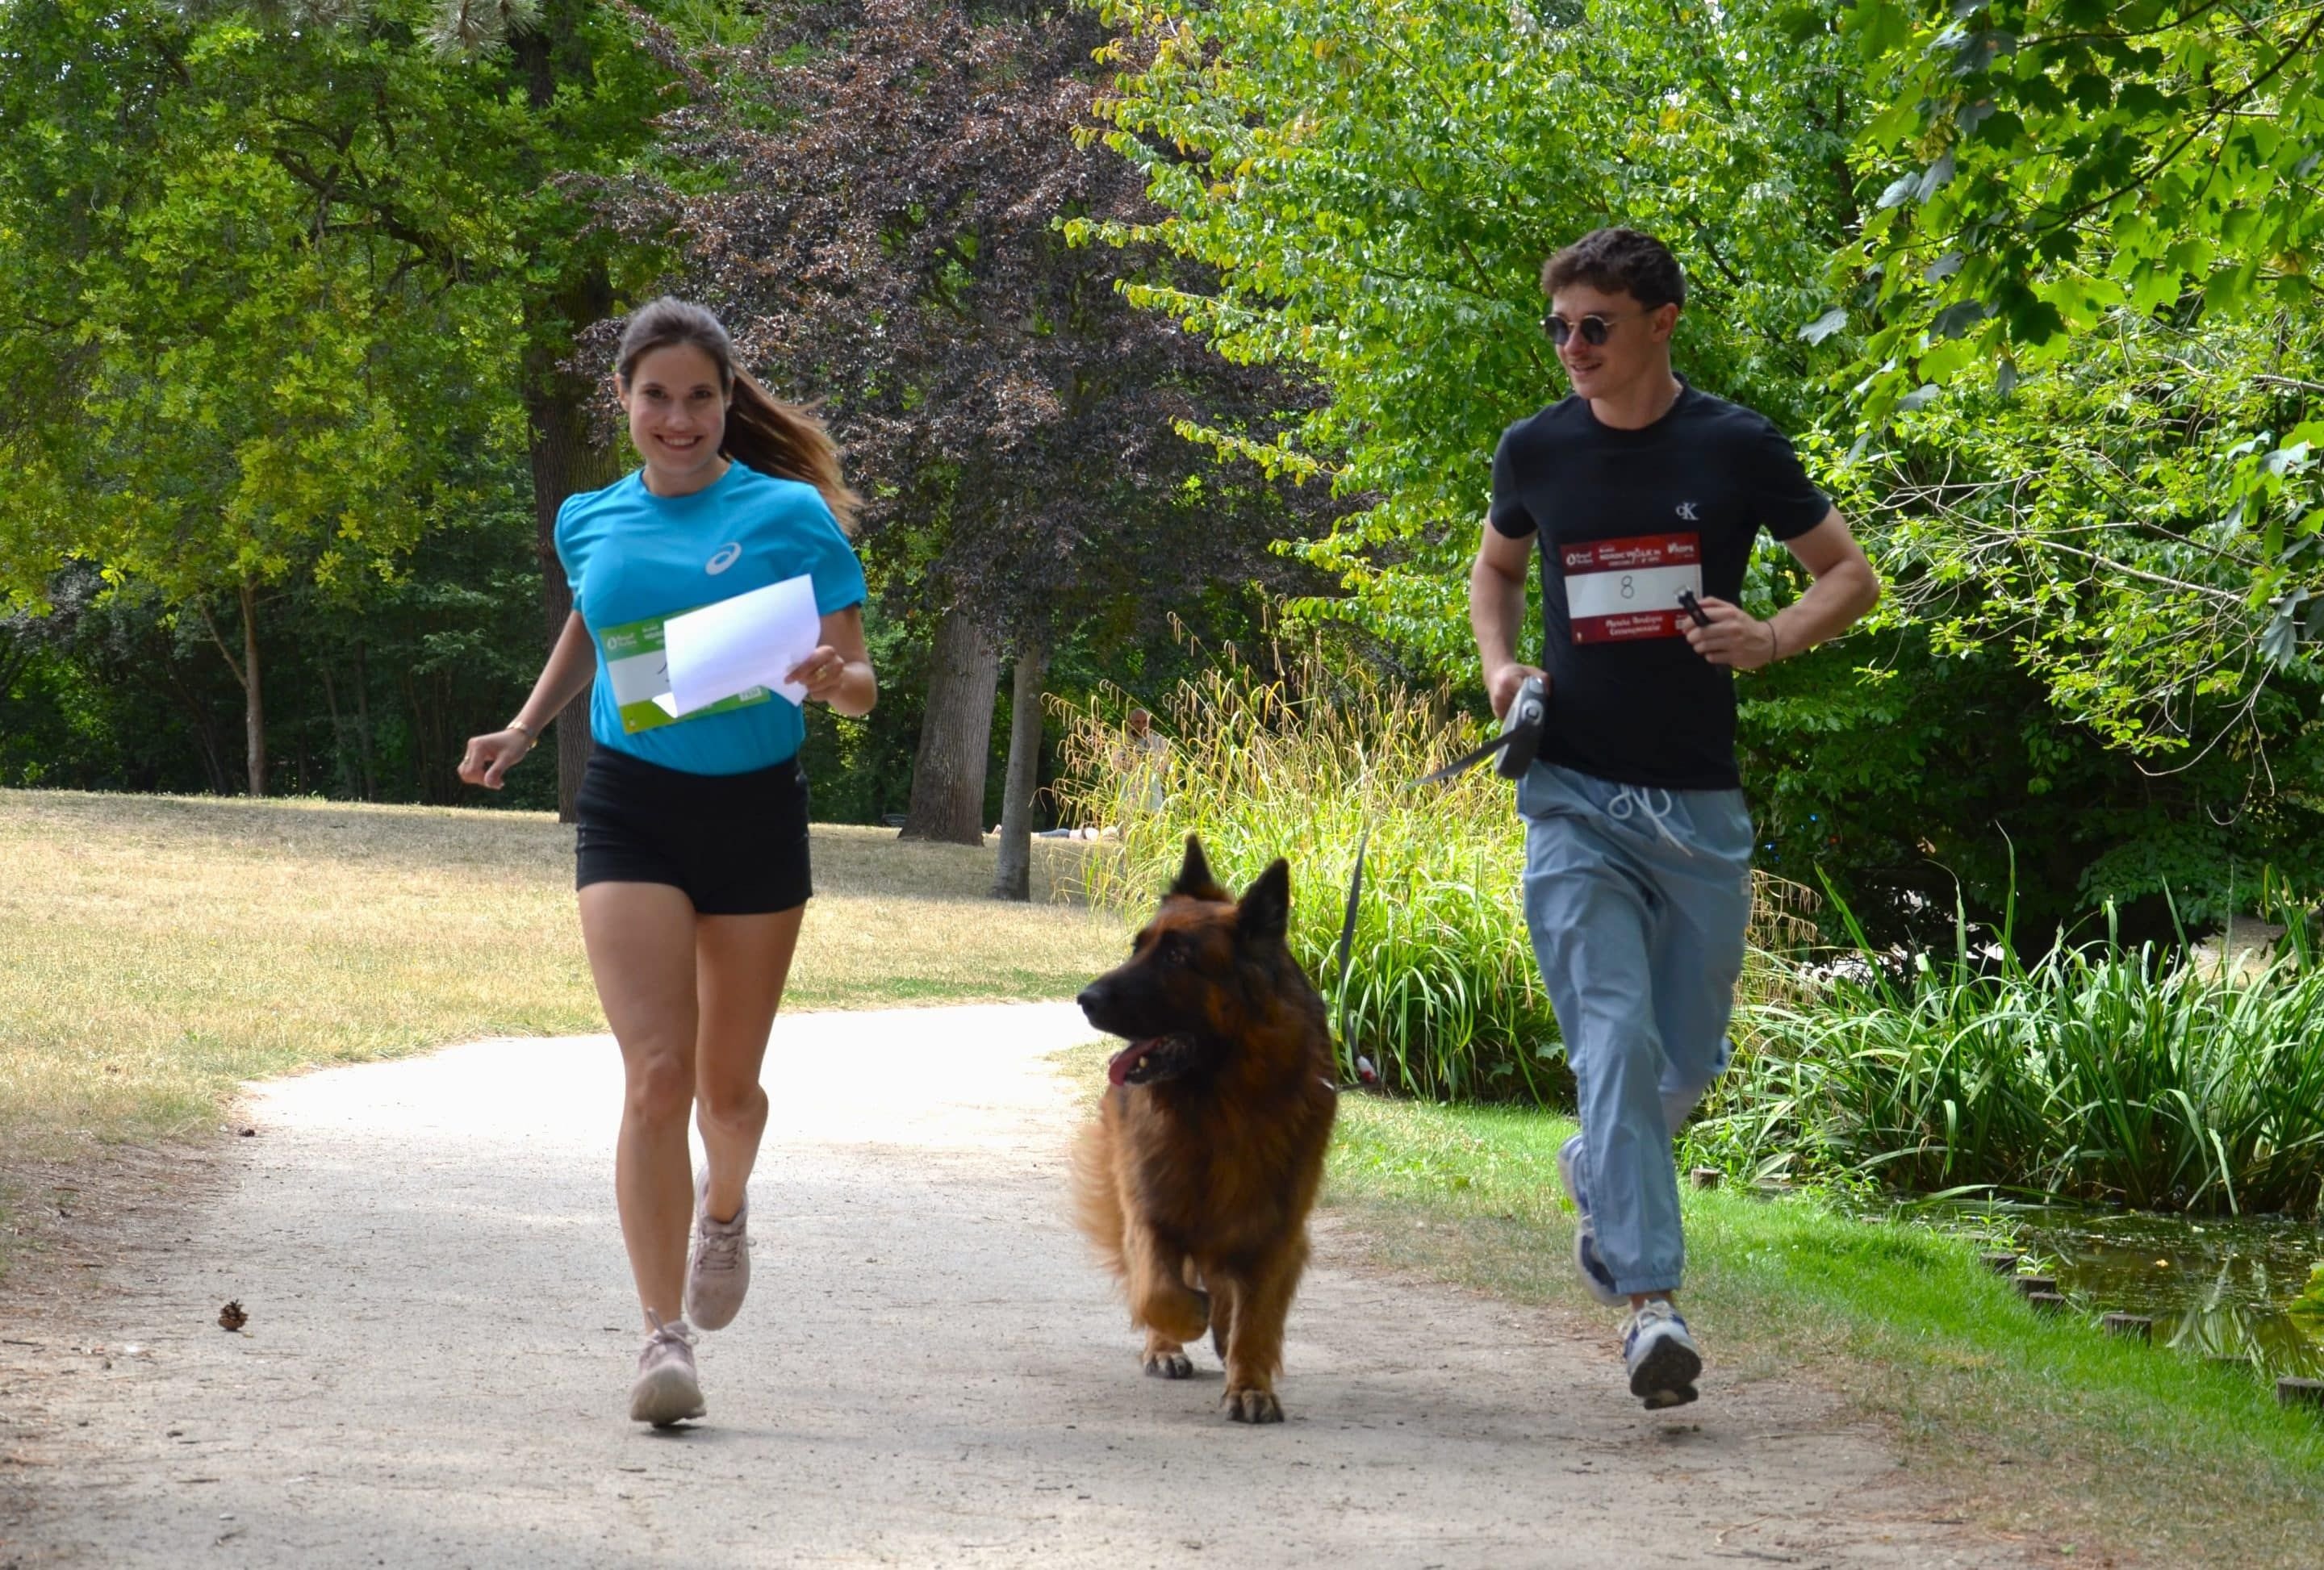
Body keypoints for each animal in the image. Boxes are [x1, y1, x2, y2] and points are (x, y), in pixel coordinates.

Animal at [1064, 836, 1329, 1421]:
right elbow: (1157, 1292)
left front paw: (1250, 1384)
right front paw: (1185, 1321)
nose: (1085, 999)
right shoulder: (1152, 1209)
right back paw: (1167, 1346)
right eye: (1137, 947)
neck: (1217, 1104)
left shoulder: (1276, 1227)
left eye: (1177, 957)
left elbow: (1256, 1313)